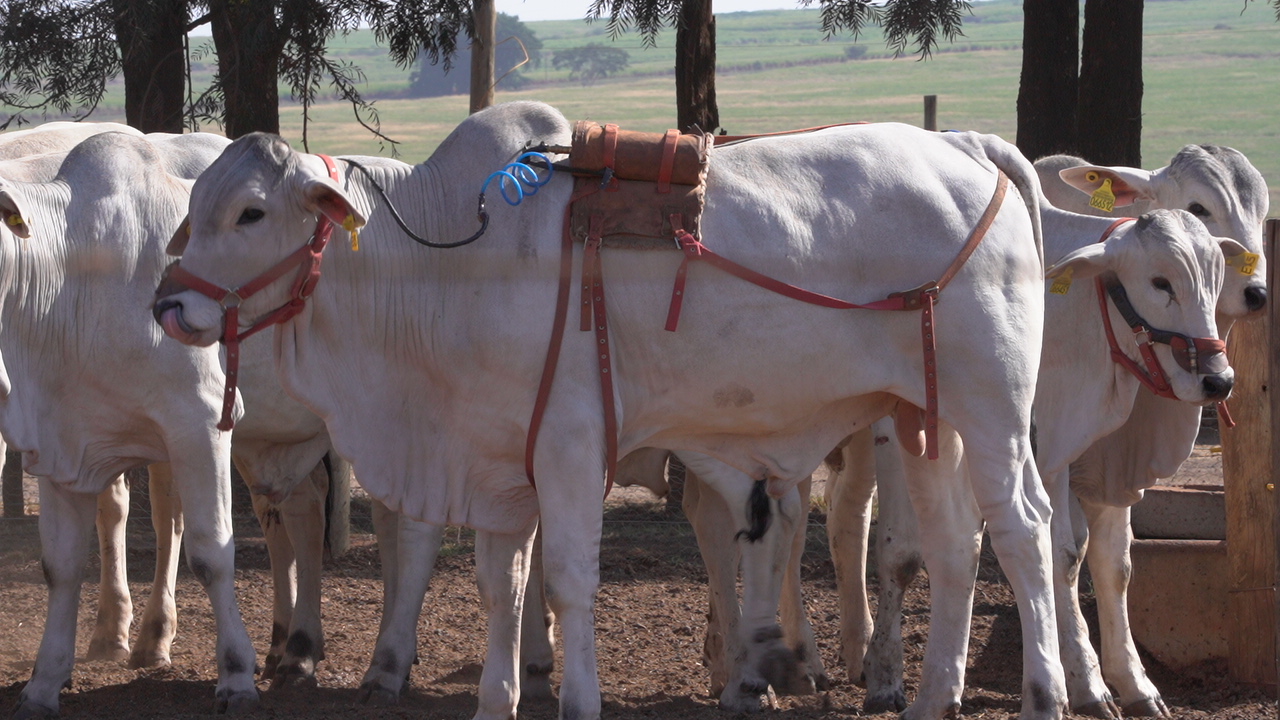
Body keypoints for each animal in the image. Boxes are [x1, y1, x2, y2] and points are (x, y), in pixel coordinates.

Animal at [0, 133, 257, 712]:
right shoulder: (63, 441)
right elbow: (61, 565)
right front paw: (44, 682)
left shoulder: (202, 422)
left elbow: (214, 552)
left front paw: (237, 674)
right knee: (167, 517)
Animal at [154, 101, 1064, 717]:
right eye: (194, 208)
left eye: (250, 211)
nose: (166, 304)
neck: (439, 270)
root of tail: (969, 149)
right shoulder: (496, 465)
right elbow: (500, 587)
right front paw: (497, 698)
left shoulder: (567, 449)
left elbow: (565, 584)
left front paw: (577, 696)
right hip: (923, 418)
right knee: (954, 545)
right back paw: (933, 696)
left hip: (992, 407)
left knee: (1023, 530)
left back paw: (1047, 692)